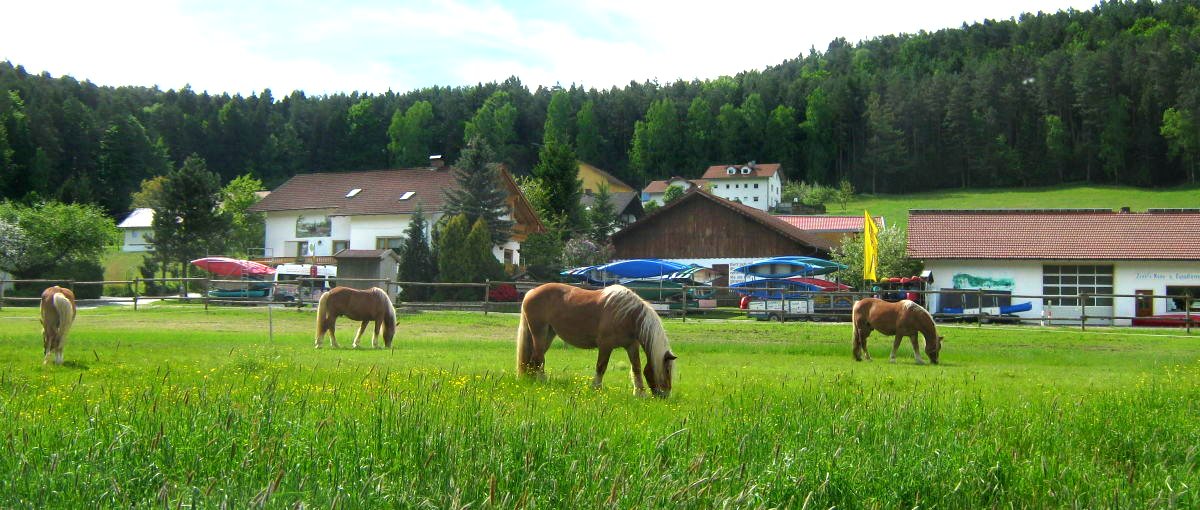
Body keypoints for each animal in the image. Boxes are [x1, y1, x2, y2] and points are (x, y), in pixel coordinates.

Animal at [516, 282, 676, 398]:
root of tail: (531, 292)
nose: (665, 395)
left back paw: (531, 380)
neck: (629, 315)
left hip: (549, 334)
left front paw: (640, 393)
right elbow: (601, 367)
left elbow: (636, 368)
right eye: (667, 370)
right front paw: (596, 388)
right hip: (539, 332)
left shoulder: (631, 346)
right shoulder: (605, 345)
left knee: (534, 359)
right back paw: (542, 381)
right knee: (538, 359)